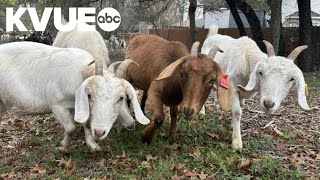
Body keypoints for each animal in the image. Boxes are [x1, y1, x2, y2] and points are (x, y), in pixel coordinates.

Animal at [0, 41, 150, 151]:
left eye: (121, 97)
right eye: (90, 95)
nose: (99, 132)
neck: (80, 72)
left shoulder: (79, 107)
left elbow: (86, 124)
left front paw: (93, 145)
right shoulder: (57, 106)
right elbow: (71, 128)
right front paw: (63, 147)